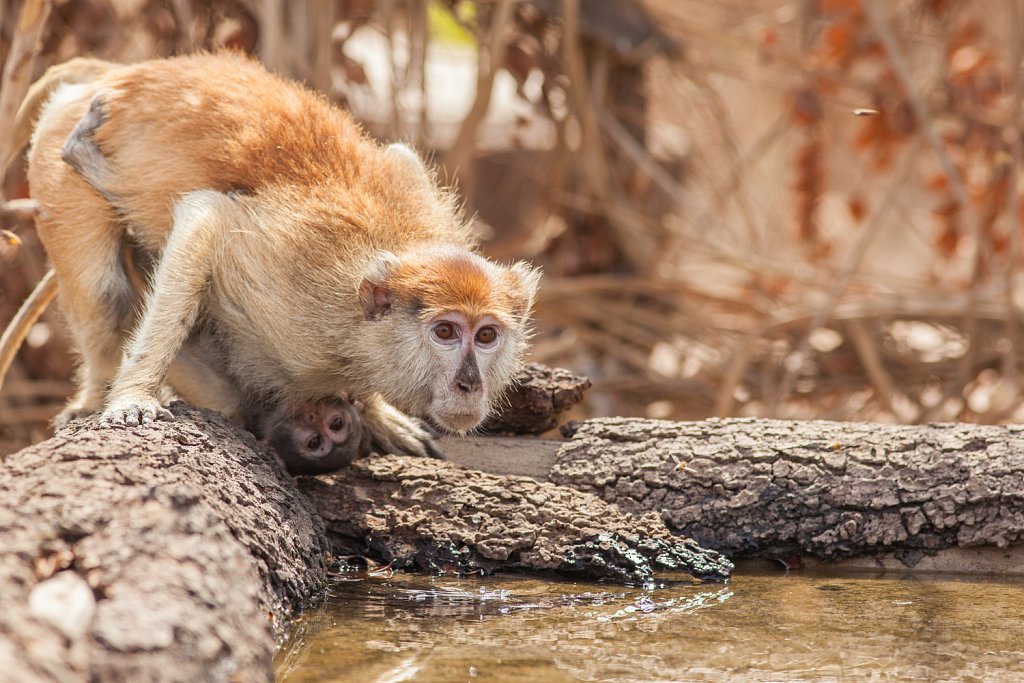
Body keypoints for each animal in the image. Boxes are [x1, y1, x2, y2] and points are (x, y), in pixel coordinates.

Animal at [12, 53, 540, 456]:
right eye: (446, 332)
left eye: (487, 335)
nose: (470, 384)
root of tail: (121, 71)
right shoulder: (295, 287)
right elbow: (207, 219)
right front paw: (134, 395)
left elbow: (399, 157)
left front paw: (375, 412)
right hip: (55, 156)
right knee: (104, 291)